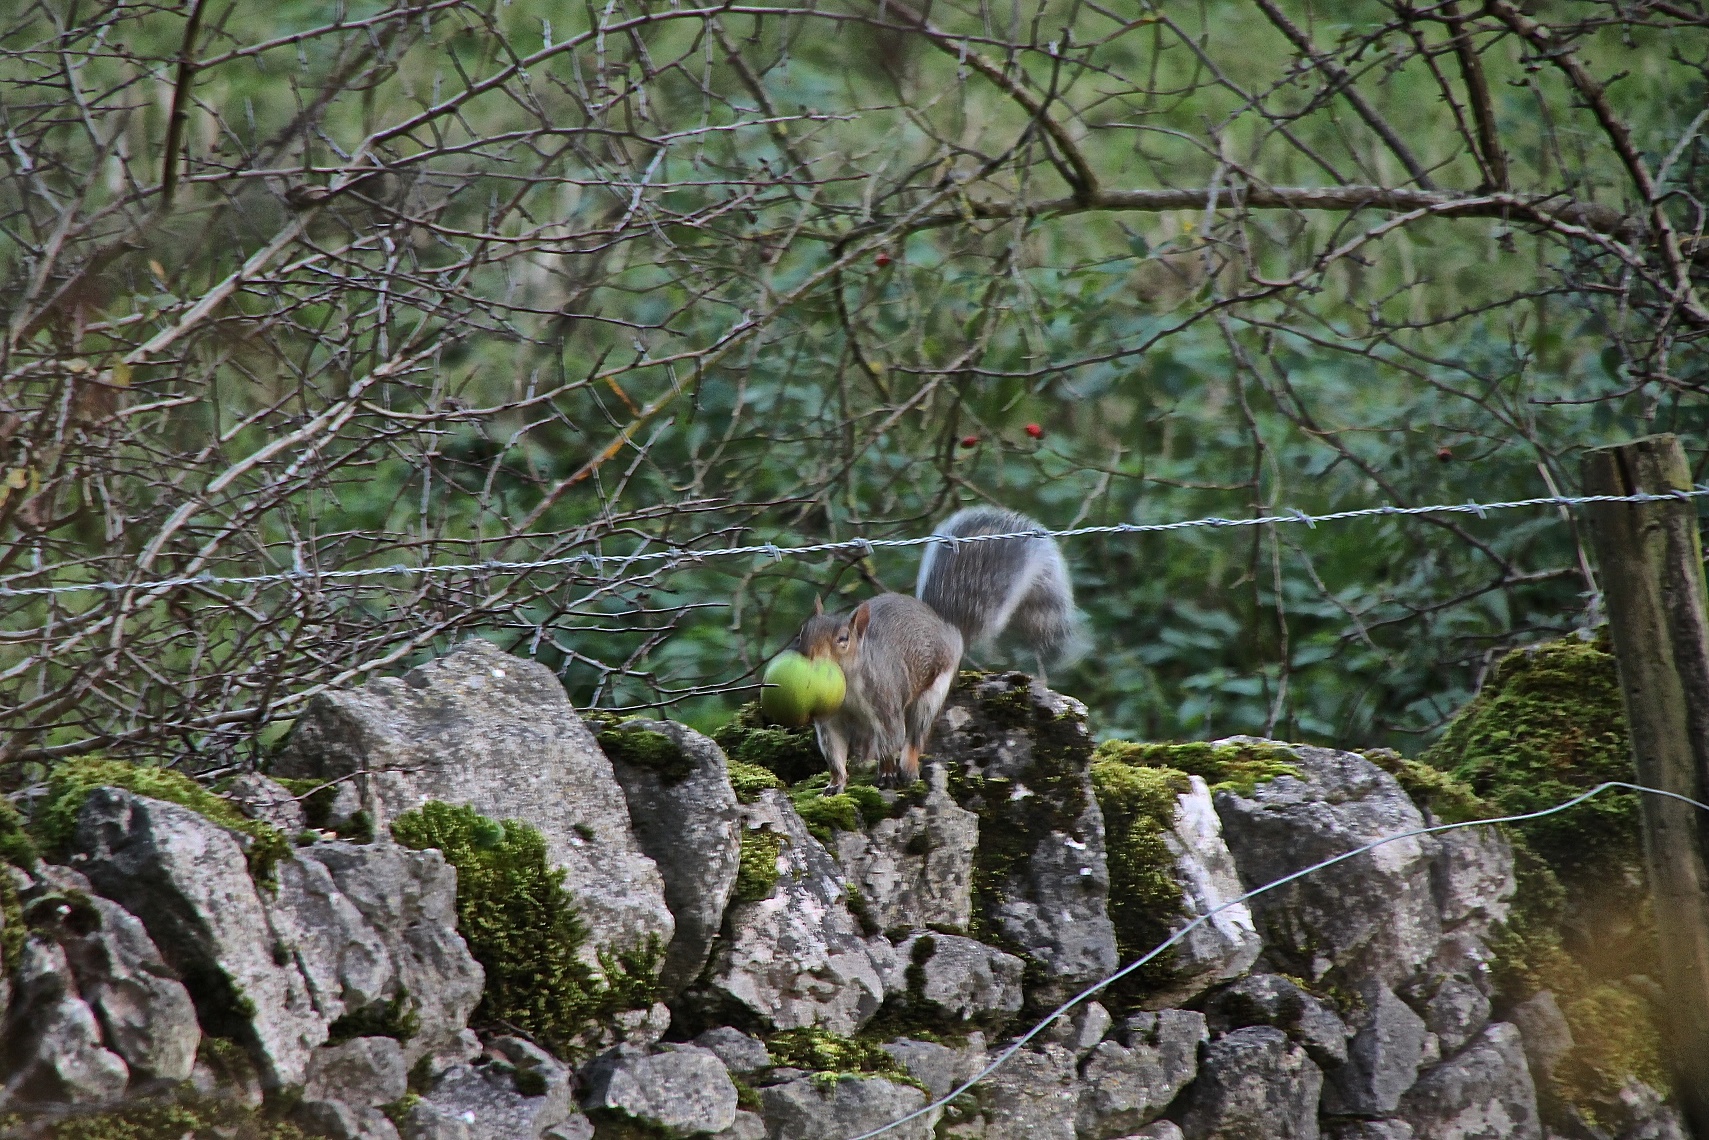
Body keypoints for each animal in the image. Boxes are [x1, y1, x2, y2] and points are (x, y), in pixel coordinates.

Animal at [791, 506, 1086, 793]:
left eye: (843, 639)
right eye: (803, 631)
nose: (807, 656)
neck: (848, 686)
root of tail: (946, 626)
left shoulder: (884, 701)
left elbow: (891, 738)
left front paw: (886, 773)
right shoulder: (829, 720)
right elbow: (834, 753)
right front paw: (835, 783)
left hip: (933, 692)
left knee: (914, 737)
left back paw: (907, 768)